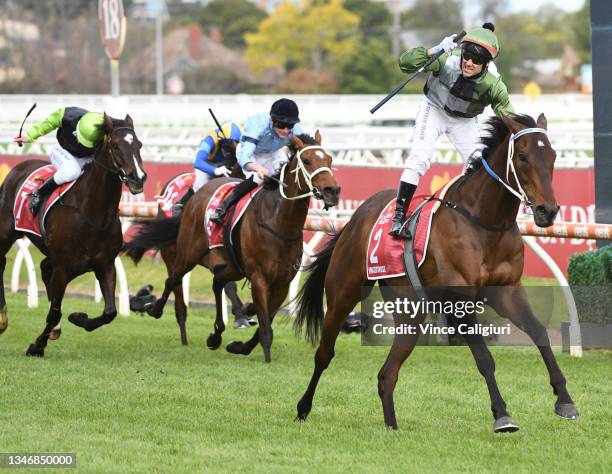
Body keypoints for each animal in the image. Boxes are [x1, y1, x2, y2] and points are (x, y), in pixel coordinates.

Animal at [0, 115, 147, 358]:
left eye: (139, 145)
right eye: (116, 146)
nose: (139, 178)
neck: (93, 214)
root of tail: (18, 167)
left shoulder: (105, 264)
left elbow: (110, 312)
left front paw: (79, 318)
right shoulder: (63, 268)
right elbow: (54, 312)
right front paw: (37, 345)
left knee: (44, 267)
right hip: (6, 232)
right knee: (2, 262)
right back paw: (3, 319)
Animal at [123, 133, 340, 362]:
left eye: (329, 160)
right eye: (306, 161)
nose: (332, 191)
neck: (279, 223)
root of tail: (196, 196)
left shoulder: (282, 282)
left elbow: (265, 321)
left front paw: (240, 345)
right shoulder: (258, 277)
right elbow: (265, 325)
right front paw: (265, 357)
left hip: (233, 266)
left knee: (217, 281)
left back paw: (216, 334)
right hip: (188, 253)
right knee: (173, 279)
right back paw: (155, 309)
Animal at [296, 114, 580, 430]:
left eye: (552, 156)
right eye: (523, 156)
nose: (548, 210)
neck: (485, 221)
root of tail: (354, 219)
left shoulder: (507, 291)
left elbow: (539, 332)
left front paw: (565, 400)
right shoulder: (460, 301)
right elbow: (484, 357)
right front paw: (502, 414)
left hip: (410, 311)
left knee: (387, 374)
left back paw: (392, 427)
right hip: (342, 295)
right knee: (324, 354)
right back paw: (303, 408)